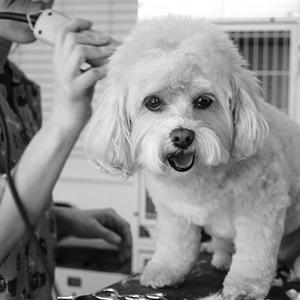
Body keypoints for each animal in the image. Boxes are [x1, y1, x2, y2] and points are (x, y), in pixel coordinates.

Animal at [83, 15, 300, 300]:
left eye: (203, 101)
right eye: (153, 102)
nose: (182, 136)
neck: (198, 178)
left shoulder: (262, 208)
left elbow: (254, 254)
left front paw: (245, 286)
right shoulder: (173, 211)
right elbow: (175, 246)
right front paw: (164, 270)